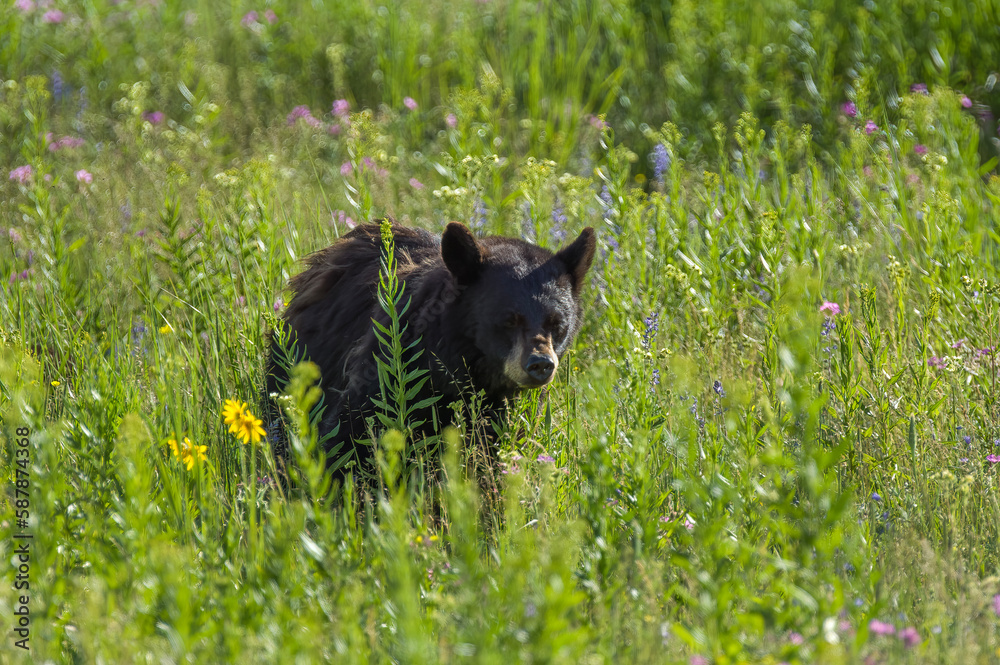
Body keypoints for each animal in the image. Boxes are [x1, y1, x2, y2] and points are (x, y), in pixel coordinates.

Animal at [267, 220, 596, 484]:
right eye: (508, 320)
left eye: (557, 323)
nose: (540, 364)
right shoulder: (390, 367)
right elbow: (351, 437)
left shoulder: (504, 410)